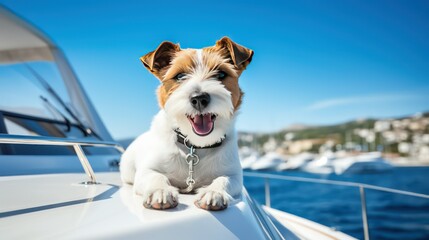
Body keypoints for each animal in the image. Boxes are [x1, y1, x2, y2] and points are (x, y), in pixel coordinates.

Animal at [118, 36, 252, 211]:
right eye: (180, 76)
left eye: (221, 74)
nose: (199, 98)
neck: (196, 146)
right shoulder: (147, 171)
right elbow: (155, 176)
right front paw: (160, 191)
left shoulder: (234, 175)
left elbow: (224, 179)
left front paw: (213, 193)